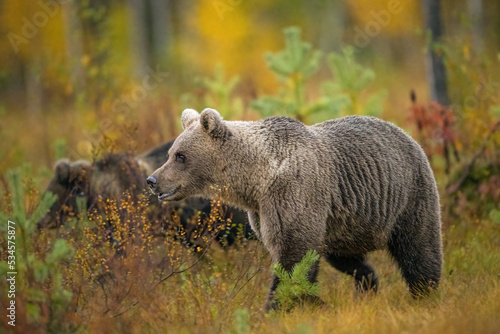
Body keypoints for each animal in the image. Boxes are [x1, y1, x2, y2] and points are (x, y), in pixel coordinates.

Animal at [147, 108, 442, 310]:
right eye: (170, 153)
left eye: (181, 156)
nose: (152, 180)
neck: (257, 181)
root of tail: (407, 135)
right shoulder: (263, 211)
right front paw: (311, 302)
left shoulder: (293, 194)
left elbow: (293, 257)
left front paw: (274, 307)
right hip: (344, 224)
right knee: (346, 257)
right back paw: (367, 284)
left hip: (409, 195)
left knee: (419, 248)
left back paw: (425, 293)